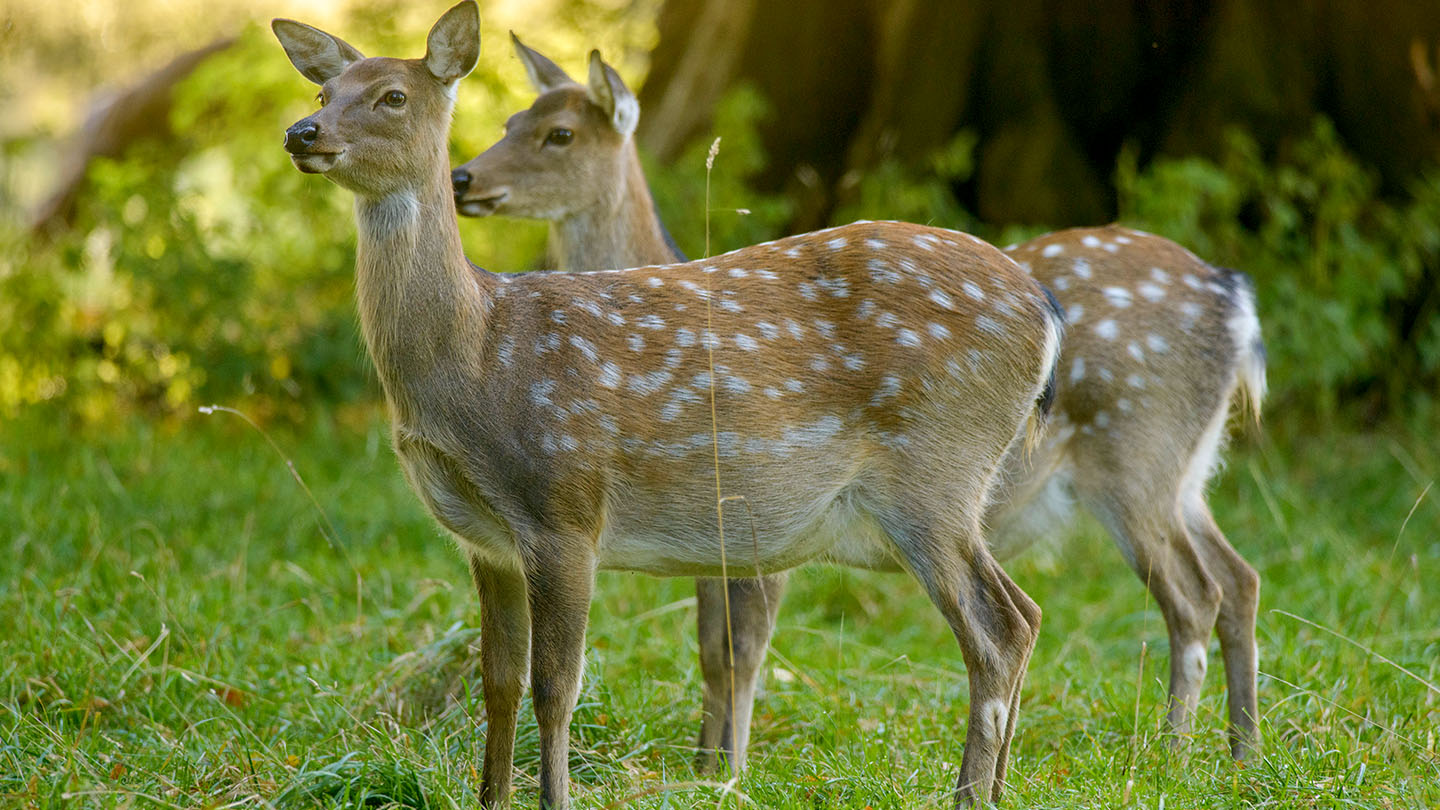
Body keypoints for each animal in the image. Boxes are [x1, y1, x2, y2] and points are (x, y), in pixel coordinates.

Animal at [275, 3, 1071, 801]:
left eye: (392, 97)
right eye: (323, 92)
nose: (301, 133)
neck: (474, 356)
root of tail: (1045, 316)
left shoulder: (565, 507)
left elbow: (557, 686)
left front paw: (563, 796)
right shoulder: (485, 539)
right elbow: (498, 684)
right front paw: (494, 797)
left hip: (933, 471)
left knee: (998, 629)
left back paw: (969, 792)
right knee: (1028, 613)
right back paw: (999, 786)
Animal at [455, 37, 1267, 766]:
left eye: (559, 134)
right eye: (511, 120)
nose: (462, 177)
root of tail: (1235, 299)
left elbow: (741, 649)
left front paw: (728, 769)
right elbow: (711, 647)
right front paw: (702, 762)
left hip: (1133, 457)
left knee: (1192, 596)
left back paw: (1171, 754)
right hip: (1186, 470)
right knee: (1238, 578)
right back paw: (1240, 753)